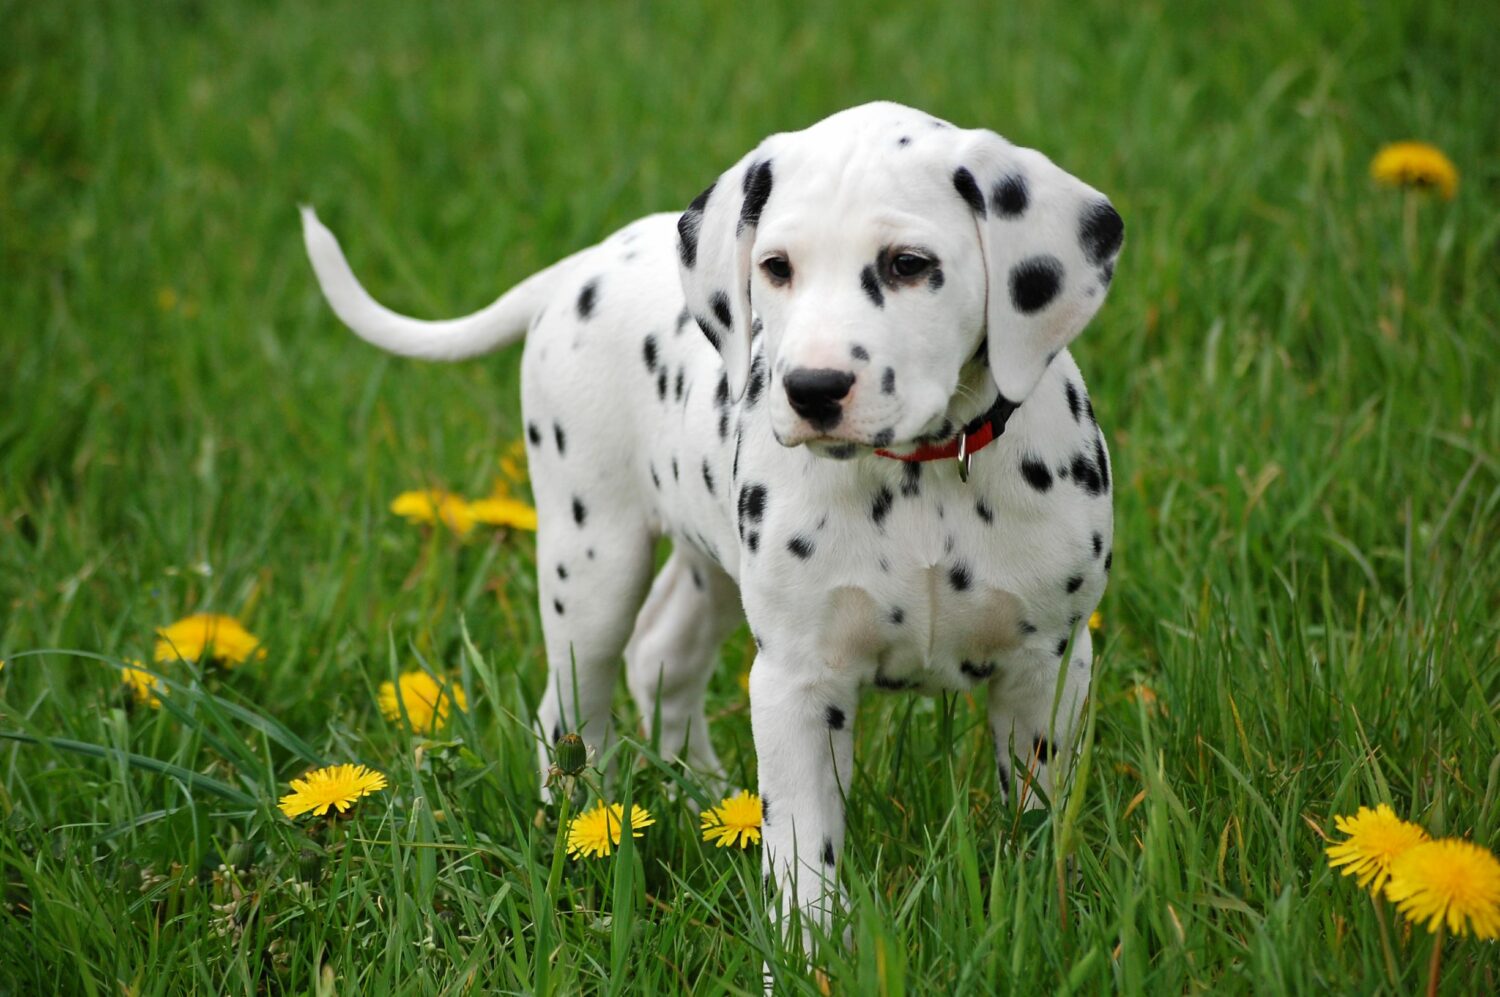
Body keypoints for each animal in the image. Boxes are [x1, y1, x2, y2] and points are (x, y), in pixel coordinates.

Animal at [298, 98, 1122, 923]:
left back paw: (701, 791)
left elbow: (1040, 814)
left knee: (664, 651)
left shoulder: (1049, 667)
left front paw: (1040, 907)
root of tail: (584, 264)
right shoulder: (797, 682)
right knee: (570, 706)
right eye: (777, 267)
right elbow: (804, 849)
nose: (812, 389)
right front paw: (806, 942)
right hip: (593, 565)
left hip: (713, 564)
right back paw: (585, 825)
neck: (918, 479)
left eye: (909, 264)